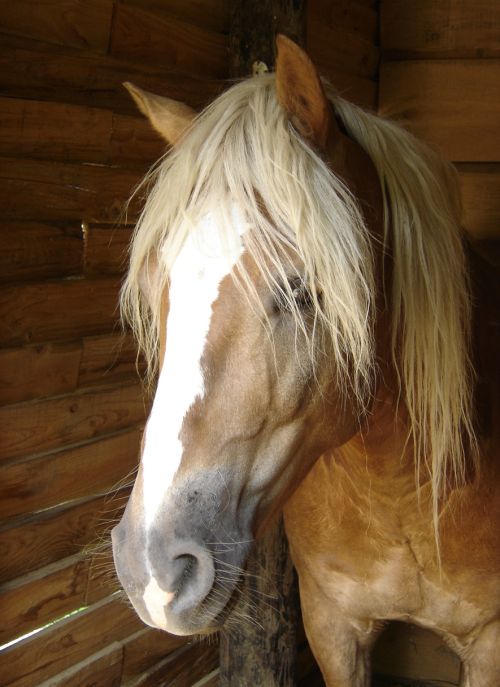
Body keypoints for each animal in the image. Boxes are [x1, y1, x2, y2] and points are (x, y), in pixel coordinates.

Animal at [113, 39, 500, 687]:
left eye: (301, 291)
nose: (155, 569)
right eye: (154, 286)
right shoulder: (331, 623)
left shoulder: (489, 642)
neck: (399, 492)